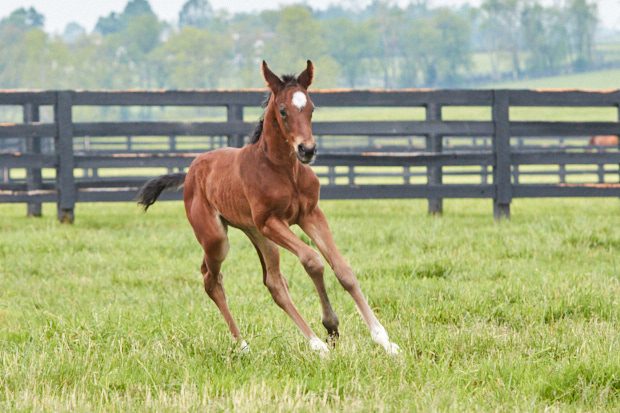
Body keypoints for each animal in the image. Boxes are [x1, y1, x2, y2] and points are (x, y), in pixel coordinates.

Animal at [137, 61, 400, 354]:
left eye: (312, 108)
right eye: (283, 111)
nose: (307, 150)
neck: (285, 171)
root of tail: (190, 172)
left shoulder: (310, 215)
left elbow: (343, 270)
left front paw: (383, 340)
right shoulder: (272, 221)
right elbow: (312, 260)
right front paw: (330, 328)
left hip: (257, 233)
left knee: (273, 282)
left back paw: (311, 341)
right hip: (218, 238)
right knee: (211, 278)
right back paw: (253, 345)